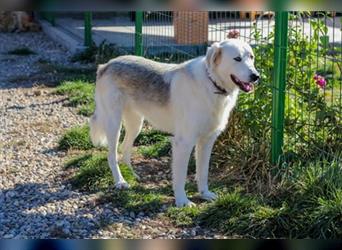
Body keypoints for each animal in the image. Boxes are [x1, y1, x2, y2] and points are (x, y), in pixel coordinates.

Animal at [89, 39, 258, 207]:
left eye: (251, 57)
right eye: (237, 59)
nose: (256, 76)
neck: (212, 84)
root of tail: (106, 65)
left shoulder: (207, 141)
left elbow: (203, 172)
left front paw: (204, 194)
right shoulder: (183, 143)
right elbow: (181, 176)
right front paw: (182, 201)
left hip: (135, 124)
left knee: (125, 149)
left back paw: (133, 175)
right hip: (114, 125)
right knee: (112, 156)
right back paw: (120, 181)